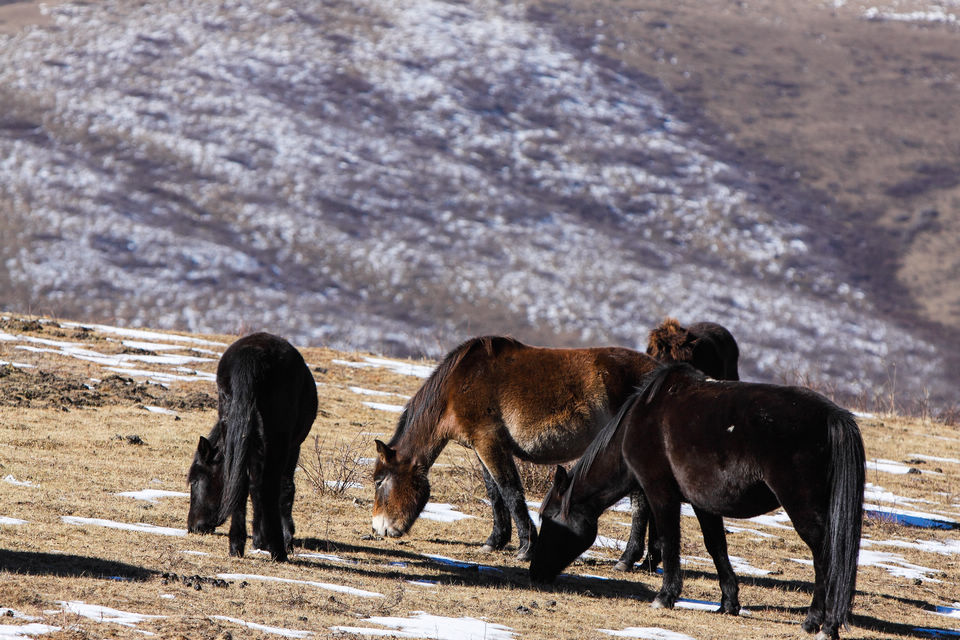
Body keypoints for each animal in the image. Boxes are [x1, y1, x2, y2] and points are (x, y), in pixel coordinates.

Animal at [188, 332, 318, 564]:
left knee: (240, 483)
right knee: (268, 488)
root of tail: (251, 358)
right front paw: (277, 539)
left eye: (195, 480)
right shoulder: (292, 448)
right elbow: (285, 489)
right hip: (276, 442)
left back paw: (236, 546)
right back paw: (278, 549)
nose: (192, 527)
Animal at [370, 336, 660, 560]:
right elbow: (494, 492)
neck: (458, 385)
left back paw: (628, 559)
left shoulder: (489, 442)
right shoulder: (482, 446)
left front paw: (526, 548)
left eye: (379, 481)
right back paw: (649, 560)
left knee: (641, 503)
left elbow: (509, 490)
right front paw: (495, 541)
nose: (378, 529)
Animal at [528, 364, 868, 640]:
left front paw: (665, 596)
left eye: (549, 518)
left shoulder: (660, 493)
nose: (535, 573)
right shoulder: (704, 503)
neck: (640, 419)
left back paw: (819, 624)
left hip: (802, 507)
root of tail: (832, 416)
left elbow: (669, 541)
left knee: (824, 558)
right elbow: (716, 546)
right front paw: (729, 602)